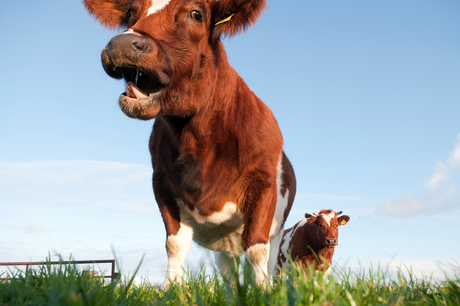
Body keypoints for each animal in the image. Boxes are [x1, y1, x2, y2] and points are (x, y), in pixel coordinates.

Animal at [83, 0, 296, 286]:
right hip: (223, 246)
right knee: (228, 270)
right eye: (129, 12)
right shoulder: (161, 183)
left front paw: (263, 290)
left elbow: (256, 247)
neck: (199, 143)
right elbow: (175, 244)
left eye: (196, 14)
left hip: (276, 227)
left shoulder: (262, 184)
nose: (123, 45)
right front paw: (171, 288)